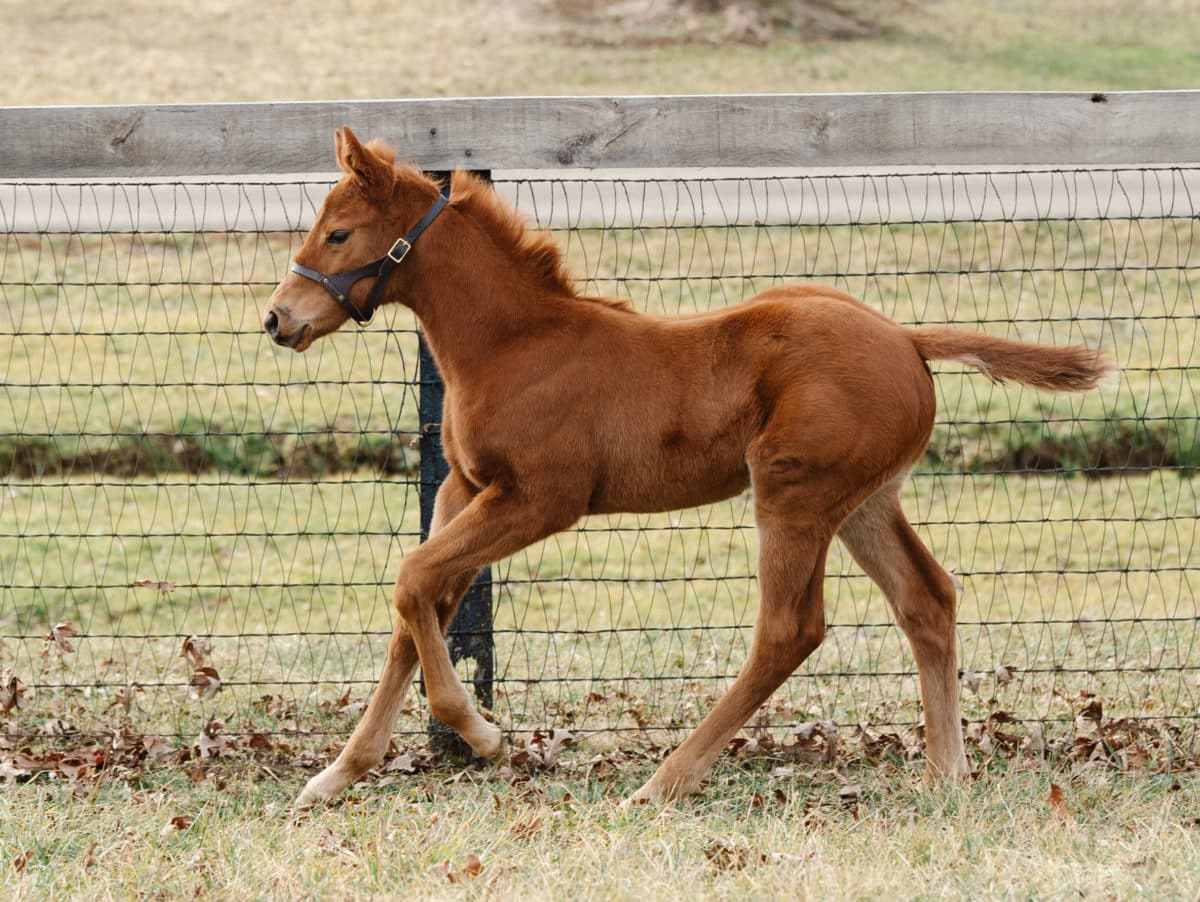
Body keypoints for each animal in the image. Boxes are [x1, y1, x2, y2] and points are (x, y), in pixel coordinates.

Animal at [267, 125, 1108, 801]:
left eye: (338, 234)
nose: (277, 320)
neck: (515, 345)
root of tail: (906, 337)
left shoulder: (539, 499)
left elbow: (414, 580)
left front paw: (484, 735)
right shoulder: (466, 489)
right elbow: (418, 608)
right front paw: (338, 775)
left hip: (794, 493)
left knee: (790, 630)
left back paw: (664, 782)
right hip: (865, 501)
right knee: (926, 601)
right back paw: (945, 775)